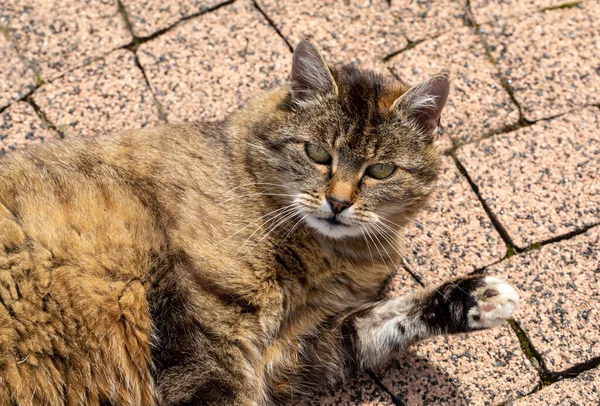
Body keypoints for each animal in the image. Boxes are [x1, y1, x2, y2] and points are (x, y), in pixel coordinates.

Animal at [0, 42, 516, 406]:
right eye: (317, 153)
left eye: (381, 171)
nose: (337, 203)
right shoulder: (204, 328)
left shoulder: (298, 348)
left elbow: (375, 324)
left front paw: (473, 298)